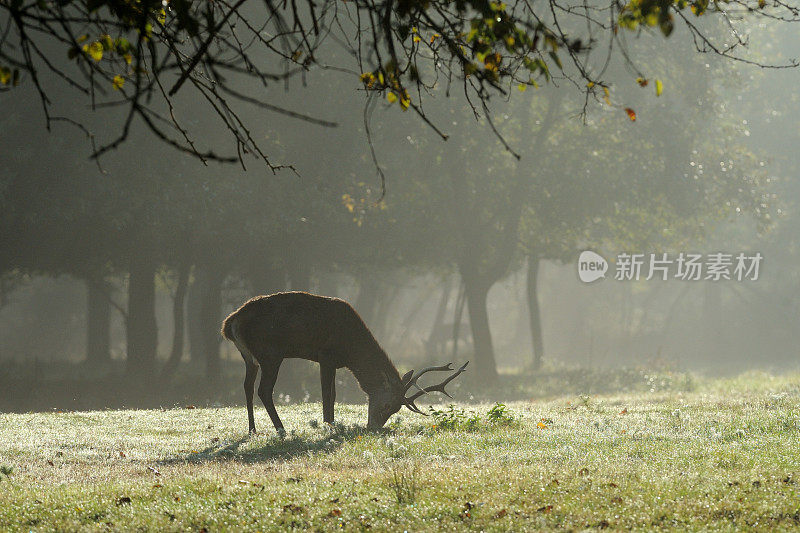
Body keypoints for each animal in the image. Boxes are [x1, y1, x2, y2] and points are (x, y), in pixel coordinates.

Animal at [219, 290, 468, 432]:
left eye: (396, 410)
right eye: (388, 405)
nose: (373, 427)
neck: (351, 350)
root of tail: (229, 323)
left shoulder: (335, 362)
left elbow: (335, 394)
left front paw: (332, 422)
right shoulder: (326, 356)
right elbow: (327, 394)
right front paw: (328, 425)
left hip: (248, 356)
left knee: (247, 386)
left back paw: (252, 429)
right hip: (270, 353)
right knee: (264, 390)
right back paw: (281, 429)